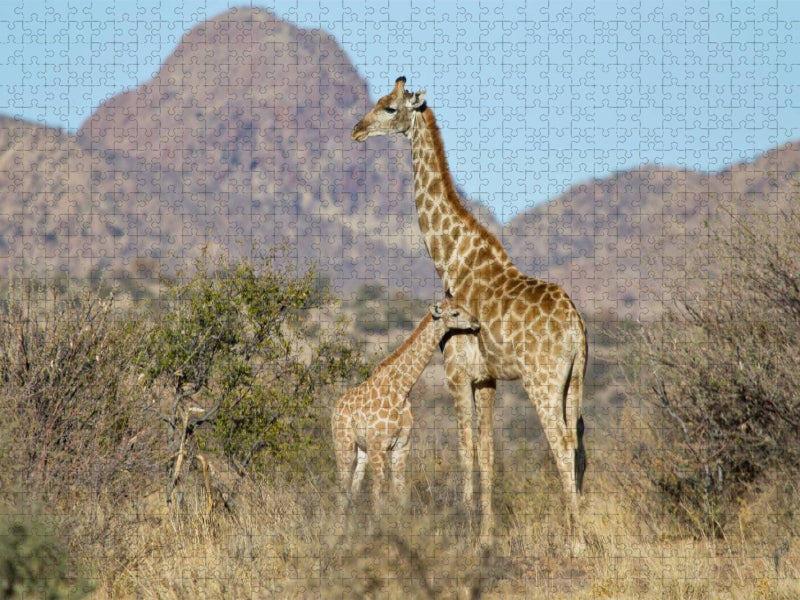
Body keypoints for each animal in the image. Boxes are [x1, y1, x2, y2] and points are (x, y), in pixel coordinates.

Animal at [332, 300, 480, 514]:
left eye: (464, 306)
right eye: (455, 313)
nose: (476, 322)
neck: (401, 388)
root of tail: (335, 408)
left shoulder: (402, 445)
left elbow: (399, 488)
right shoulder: (378, 445)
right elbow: (379, 487)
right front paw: (377, 521)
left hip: (361, 449)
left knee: (353, 486)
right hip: (344, 443)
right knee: (342, 486)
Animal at [352, 77, 588, 543]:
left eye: (389, 108)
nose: (357, 131)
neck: (452, 260)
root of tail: (575, 327)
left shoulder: (456, 373)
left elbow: (465, 452)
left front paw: (464, 530)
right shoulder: (487, 379)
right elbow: (488, 454)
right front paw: (485, 535)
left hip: (542, 380)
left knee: (560, 442)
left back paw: (575, 542)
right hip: (575, 380)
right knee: (575, 443)